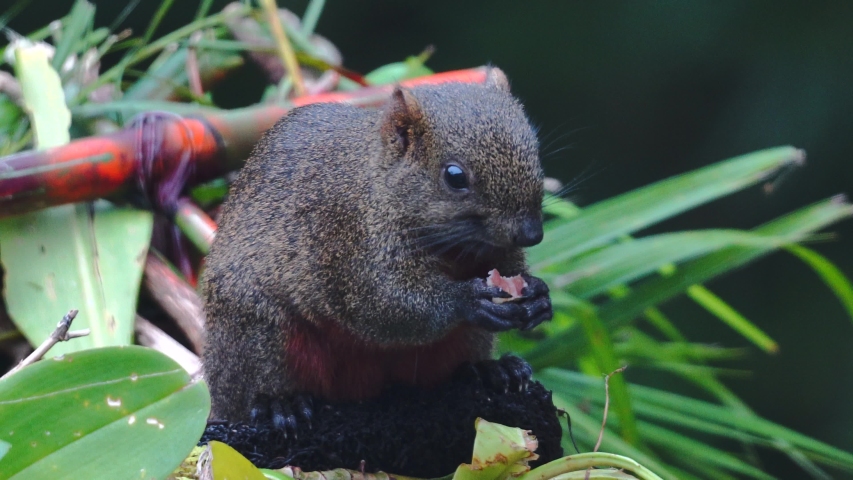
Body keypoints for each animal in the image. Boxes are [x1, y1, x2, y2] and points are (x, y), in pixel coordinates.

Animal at [204, 66, 556, 428]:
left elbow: (510, 269)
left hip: (462, 342)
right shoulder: (347, 247)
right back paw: (280, 405)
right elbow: (386, 302)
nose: (531, 234)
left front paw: (538, 297)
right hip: (260, 332)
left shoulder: (497, 252)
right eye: (455, 176)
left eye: (535, 153)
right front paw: (467, 299)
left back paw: (492, 371)